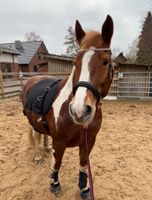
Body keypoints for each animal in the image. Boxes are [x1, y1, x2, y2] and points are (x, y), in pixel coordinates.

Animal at [21, 15, 114, 200]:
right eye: (75, 63)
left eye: (105, 62)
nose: (79, 110)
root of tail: (32, 79)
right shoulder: (59, 142)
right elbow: (56, 163)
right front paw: (54, 185)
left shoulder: (89, 141)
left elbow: (83, 165)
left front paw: (84, 188)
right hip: (32, 122)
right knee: (35, 135)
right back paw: (37, 157)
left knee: (44, 134)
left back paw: (46, 147)